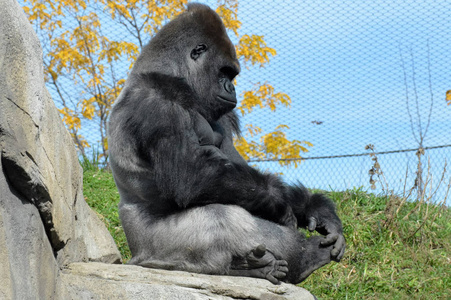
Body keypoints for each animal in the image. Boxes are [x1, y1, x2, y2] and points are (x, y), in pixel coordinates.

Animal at [108, 2, 346, 284]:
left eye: (232, 75)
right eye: (225, 72)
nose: (232, 89)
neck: (167, 72)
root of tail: (136, 257)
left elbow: (238, 168)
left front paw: (316, 210)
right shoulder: (155, 103)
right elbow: (192, 175)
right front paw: (278, 201)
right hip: (161, 255)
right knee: (221, 214)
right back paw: (285, 260)